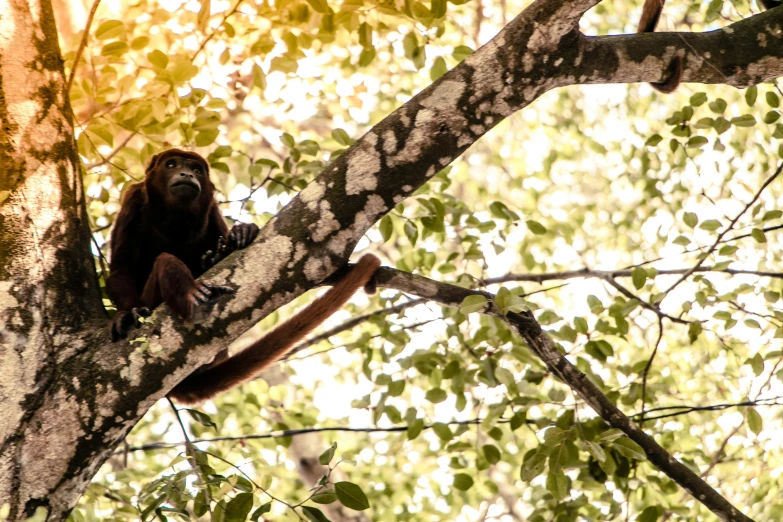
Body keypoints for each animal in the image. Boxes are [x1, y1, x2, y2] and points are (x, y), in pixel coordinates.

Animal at [107, 148, 382, 404]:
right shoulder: (133, 198)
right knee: (165, 261)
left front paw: (241, 234)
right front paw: (126, 315)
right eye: (172, 165)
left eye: (196, 169)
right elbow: (121, 267)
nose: (186, 174)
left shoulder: (211, 207)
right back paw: (194, 297)